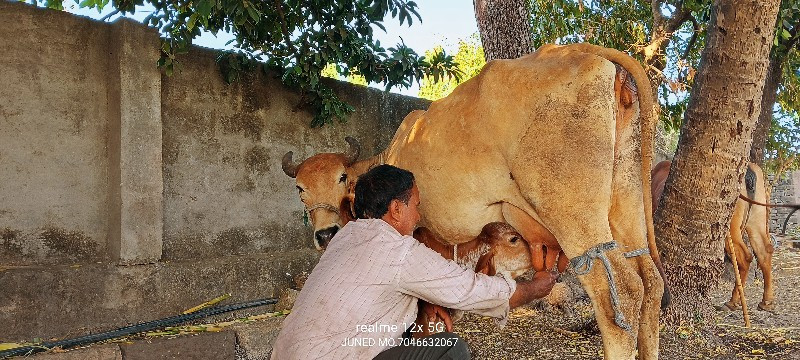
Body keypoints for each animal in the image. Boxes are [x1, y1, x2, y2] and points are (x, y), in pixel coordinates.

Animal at [648, 162, 776, 310]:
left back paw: (733, 301)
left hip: (730, 230)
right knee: (764, 252)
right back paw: (766, 301)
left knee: (745, 257)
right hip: (756, 220)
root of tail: (749, 171)